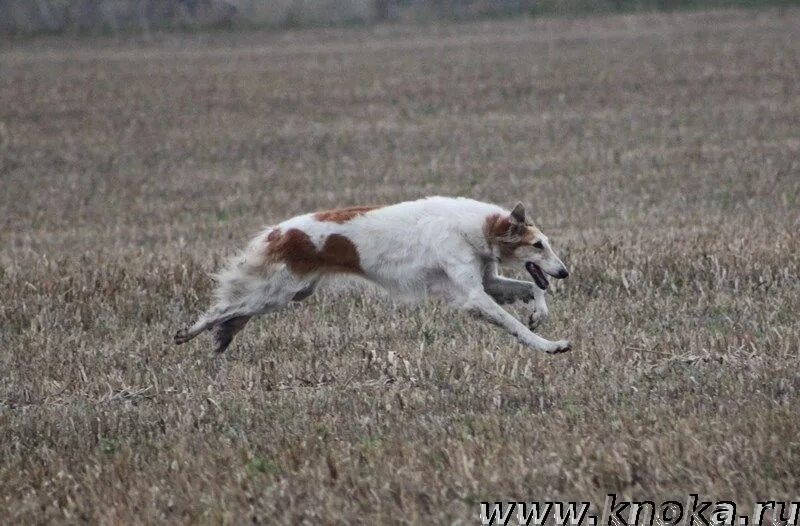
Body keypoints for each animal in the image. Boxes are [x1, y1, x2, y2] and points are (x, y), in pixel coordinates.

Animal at [177, 199, 568, 358]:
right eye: (538, 245)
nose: (565, 271)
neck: (474, 228)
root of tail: (279, 231)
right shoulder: (473, 295)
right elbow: (514, 324)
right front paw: (550, 345)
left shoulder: (487, 283)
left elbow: (533, 289)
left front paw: (539, 313)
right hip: (275, 292)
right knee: (221, 310)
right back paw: (187, 333)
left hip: (292, 292)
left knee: (233, 313)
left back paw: (219, 338)